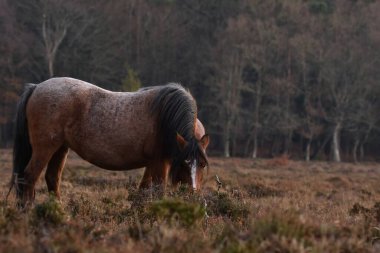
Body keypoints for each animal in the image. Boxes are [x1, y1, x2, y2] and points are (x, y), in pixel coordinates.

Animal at [11, 78, 211, 207]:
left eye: (202, 164)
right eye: (184, 164)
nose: (193, 194)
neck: (164, 117)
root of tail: (36, 87)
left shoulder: (153, 163)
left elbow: (143, 191)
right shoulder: (160, 162)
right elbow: (157, 191)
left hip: (60, 148)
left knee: (52, 178)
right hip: (44, 148)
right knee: (28, 178)